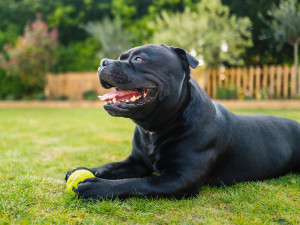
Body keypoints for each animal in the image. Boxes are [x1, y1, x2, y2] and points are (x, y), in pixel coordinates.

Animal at [65, 43, 300, 199]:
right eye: (121, 57)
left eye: (139, 59)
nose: (103, 62)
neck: (155, 128)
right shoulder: (136, 162)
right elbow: (112, 166)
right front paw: (84, 170)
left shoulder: (179, 179)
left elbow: (136, 183)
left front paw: (96, 187)